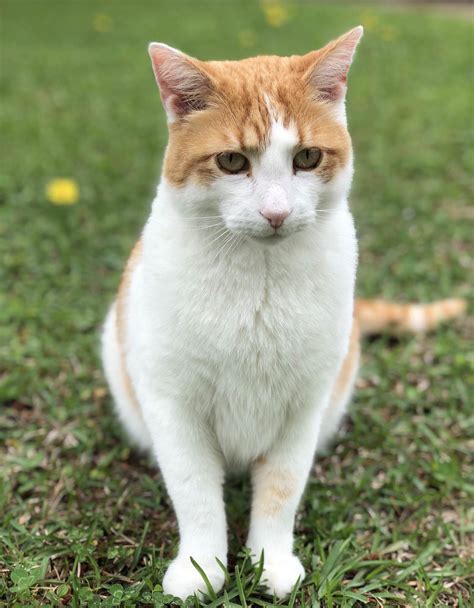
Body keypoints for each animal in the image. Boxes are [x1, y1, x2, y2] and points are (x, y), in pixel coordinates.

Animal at [101, 27, 466, 600]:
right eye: (232, 162)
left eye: (308, 158)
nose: (276, 212)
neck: (260, 281)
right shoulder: (173, 405)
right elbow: (195, 492)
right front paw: (201, 566)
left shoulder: (303, 407)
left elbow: (281, 489)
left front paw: (269, 561)